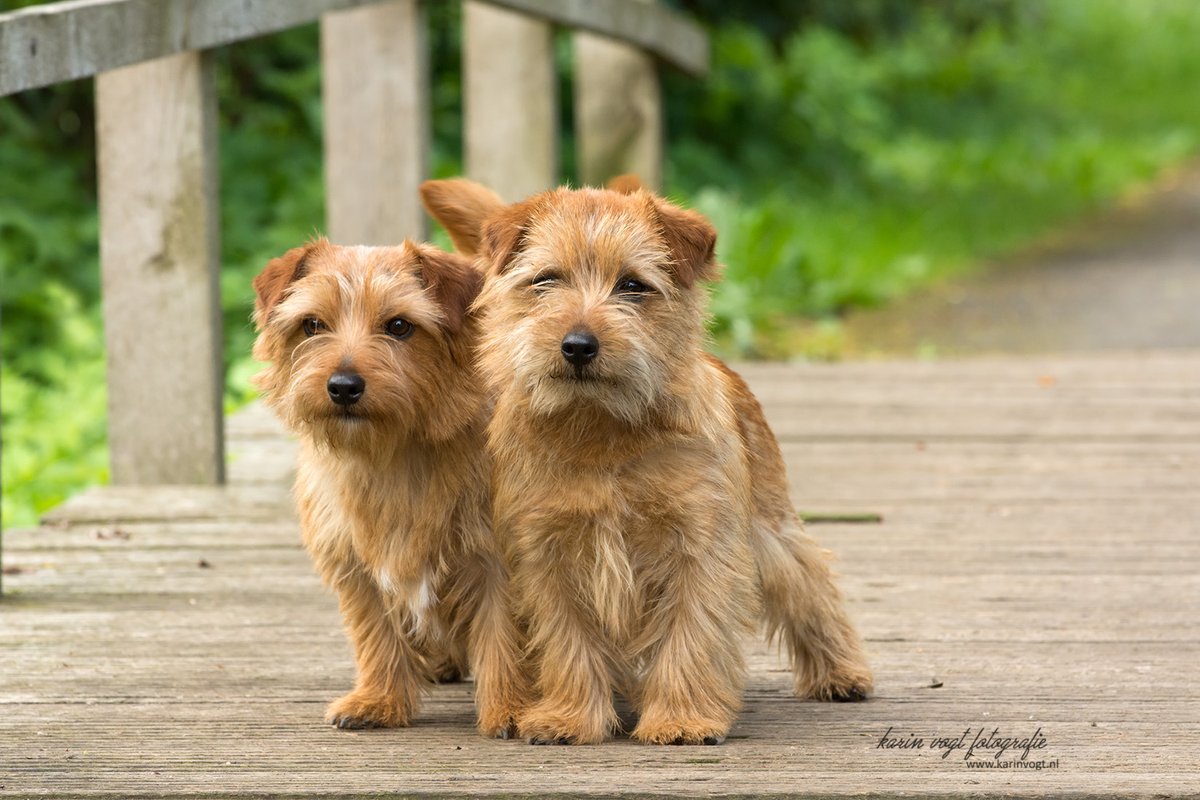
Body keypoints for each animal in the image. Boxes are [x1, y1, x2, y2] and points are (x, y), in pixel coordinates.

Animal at [252, 236, 525, 738]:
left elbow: (505, 638)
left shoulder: (499, 562)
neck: (393, 456)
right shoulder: (355, 564)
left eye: (399, 326)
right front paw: (378, 701)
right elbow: (376, 634)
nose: (343, 386)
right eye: (312, 324)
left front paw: (513, 710)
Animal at [422, 179, 873, 743]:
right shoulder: (545, 556)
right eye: (546, 280)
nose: (578, 345)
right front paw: (570, 717)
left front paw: (680, 717)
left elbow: (690, 637)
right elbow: (566, 643)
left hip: (772, 530)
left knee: (811, 587)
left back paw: (841, 673)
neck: (601, 433)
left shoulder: (700, 550)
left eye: (633, 286)